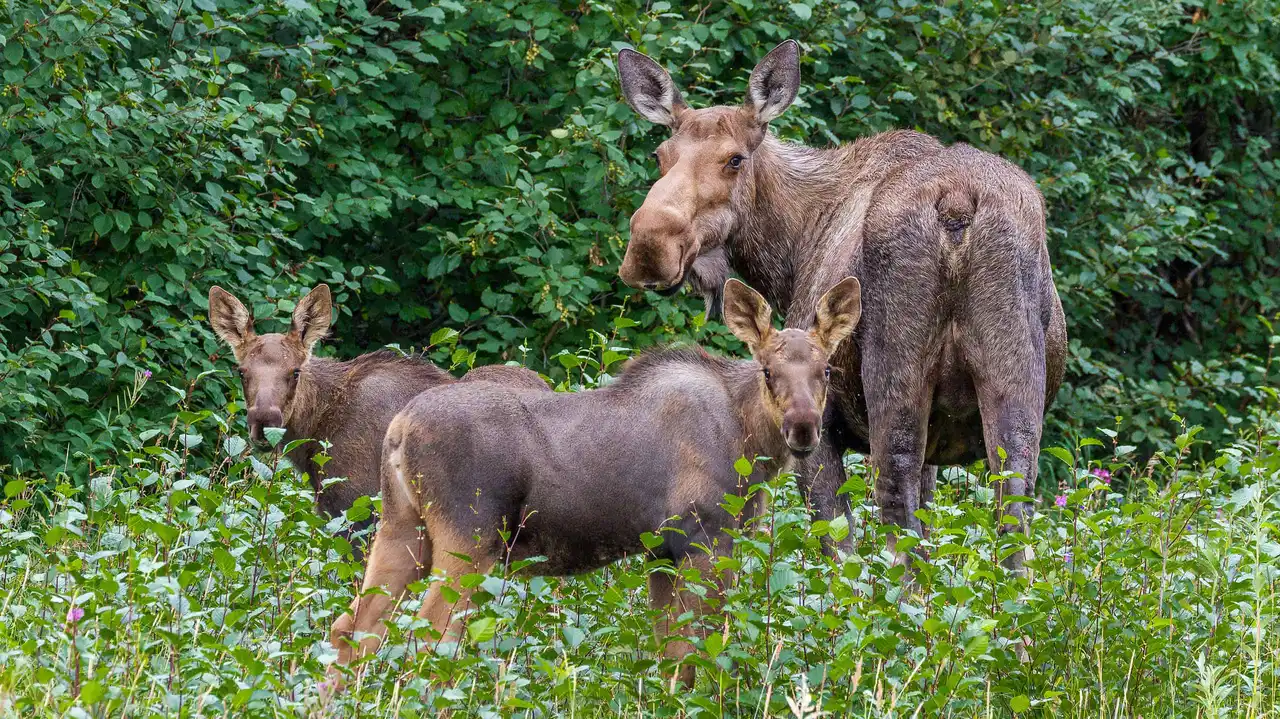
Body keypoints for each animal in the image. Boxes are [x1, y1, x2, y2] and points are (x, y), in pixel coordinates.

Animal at [325, 277, 862, 692]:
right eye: (768, 370)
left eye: (826, 369)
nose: (803, 428)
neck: (749, 439)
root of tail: (398, 431)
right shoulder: (703, 539)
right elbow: (697, 654)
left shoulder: (660, 553)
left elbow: (669, 655)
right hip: (469, 538)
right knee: (431, 638)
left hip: (402, 528)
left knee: (351, 628)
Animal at [615, 40, 1067, 569]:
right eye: (660, 154)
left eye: (735, 159)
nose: (650, 244)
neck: (790, 252)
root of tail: (957, 204)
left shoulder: (819, 427)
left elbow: (835, 545)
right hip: (1013, 381)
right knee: (1013, 514)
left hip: (893, 374)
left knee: (896, 516)